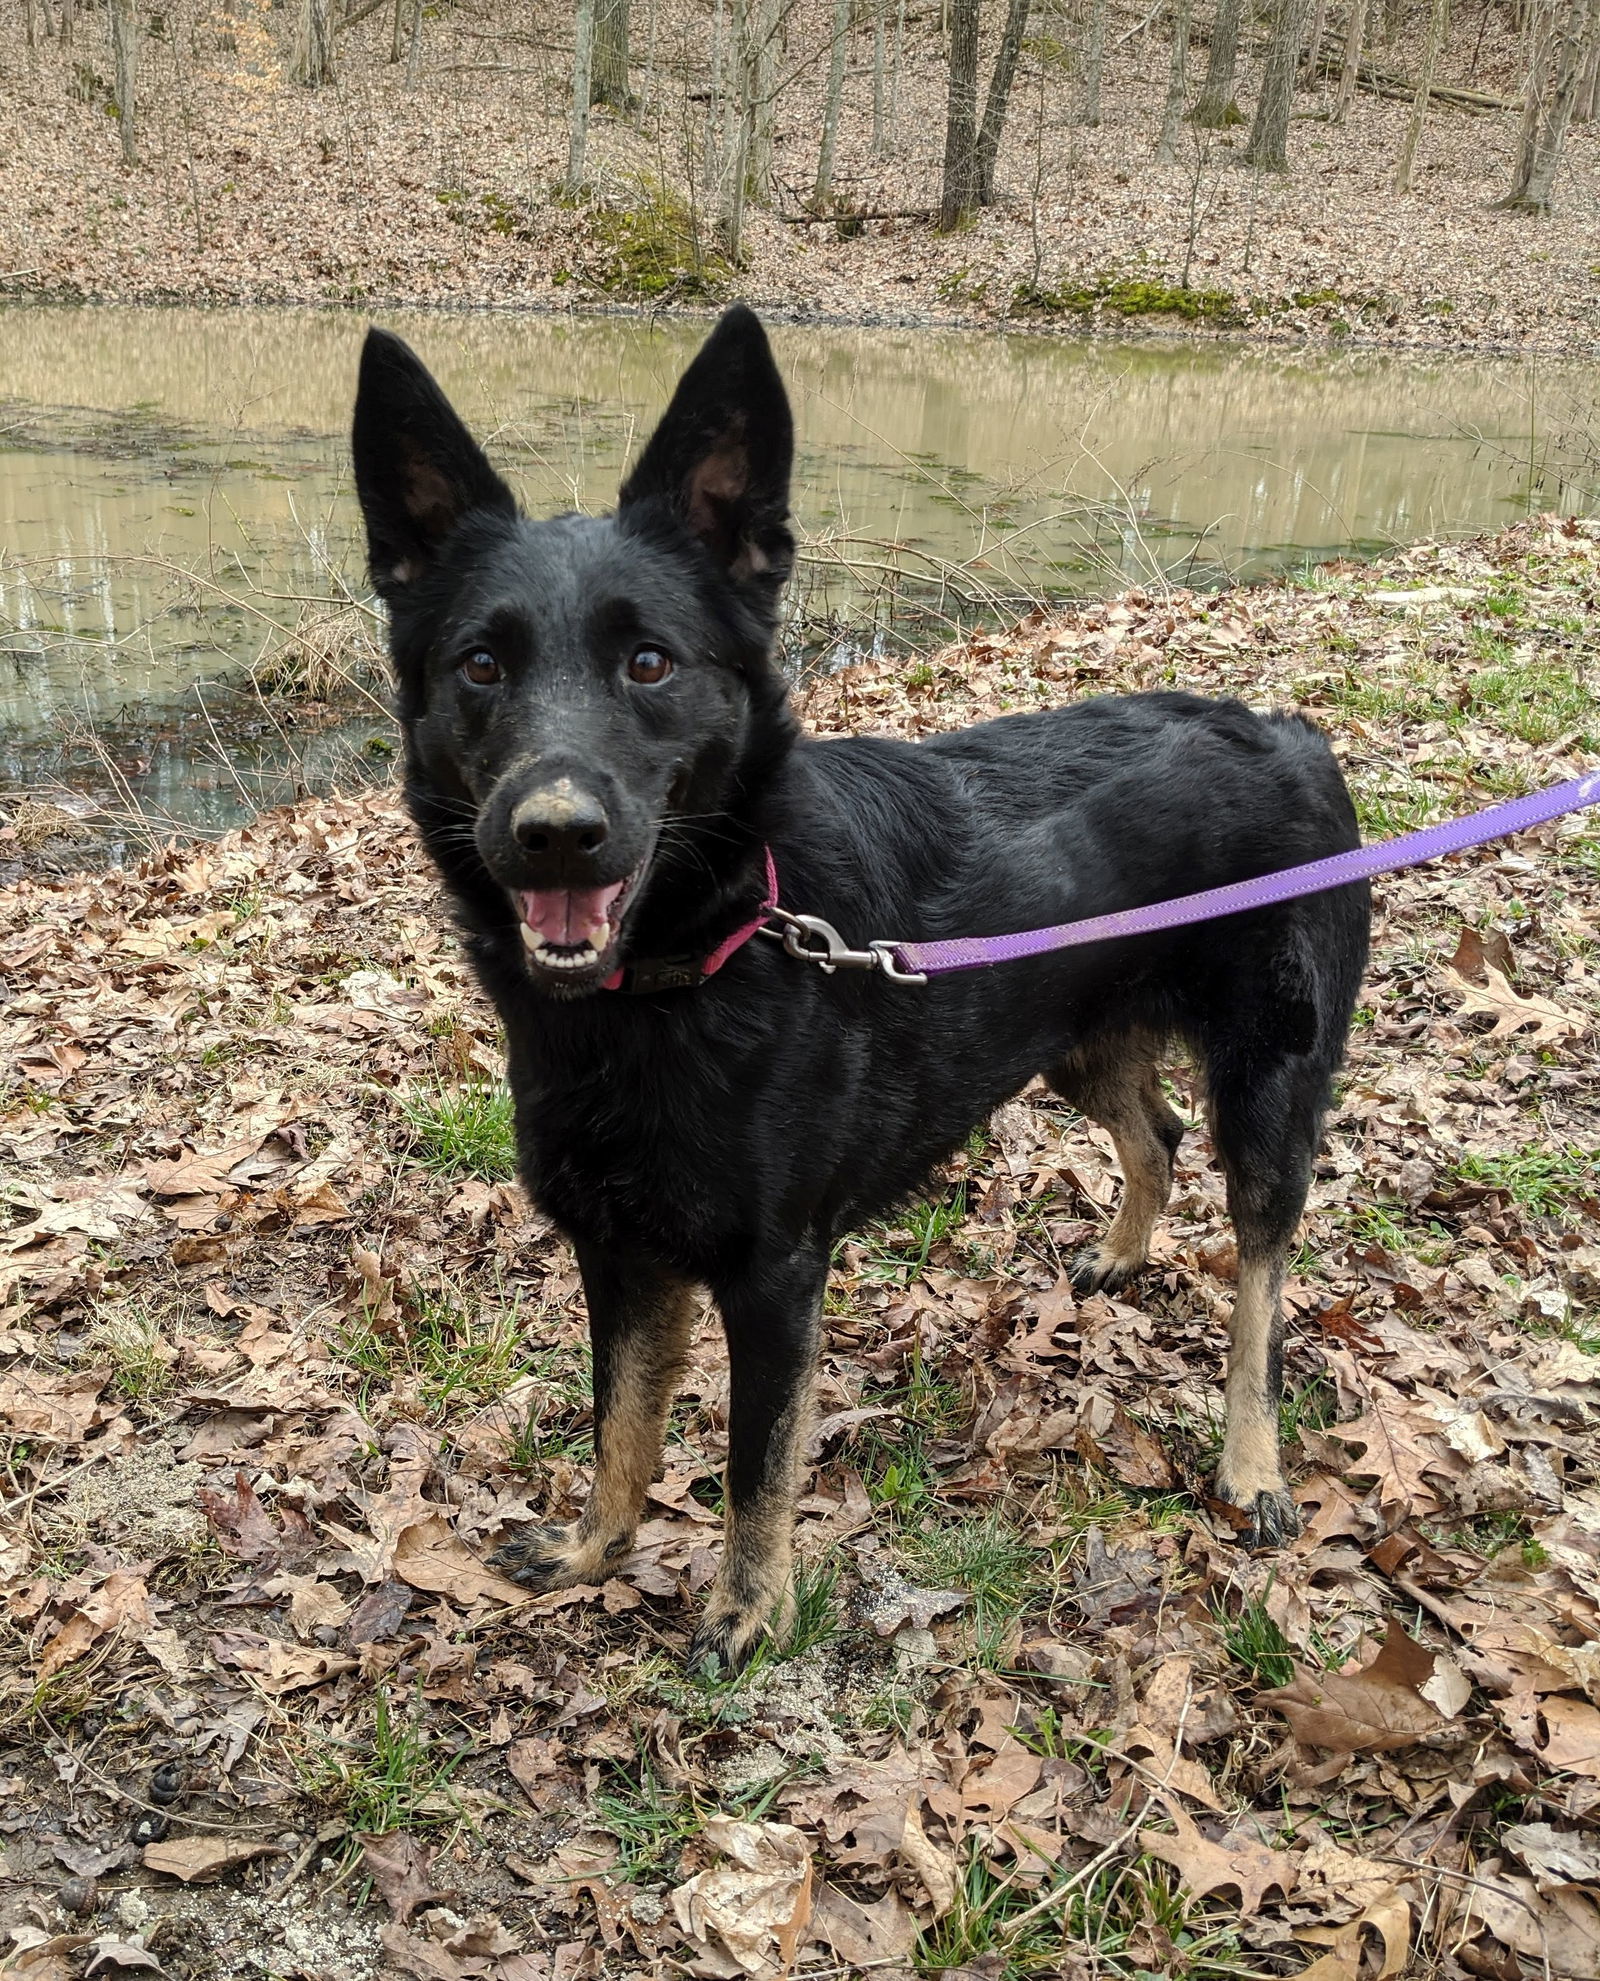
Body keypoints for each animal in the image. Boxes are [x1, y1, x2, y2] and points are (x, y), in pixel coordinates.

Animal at [356, 309, 1370, 1671]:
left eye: (648, 662)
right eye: (478, 666)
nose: (555, 835)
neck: (699, 961)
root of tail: (1288, 729)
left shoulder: (774, 1277)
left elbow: (752, 1465)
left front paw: (747, 1609)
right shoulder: (620, 1252)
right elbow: (618, 1420)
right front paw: (594, 1551)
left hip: (1269, 1090)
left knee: (1262, 1278)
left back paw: (1250, 1462)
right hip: (1072, 1039)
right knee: (1151, 1132)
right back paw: (1118, 1255)